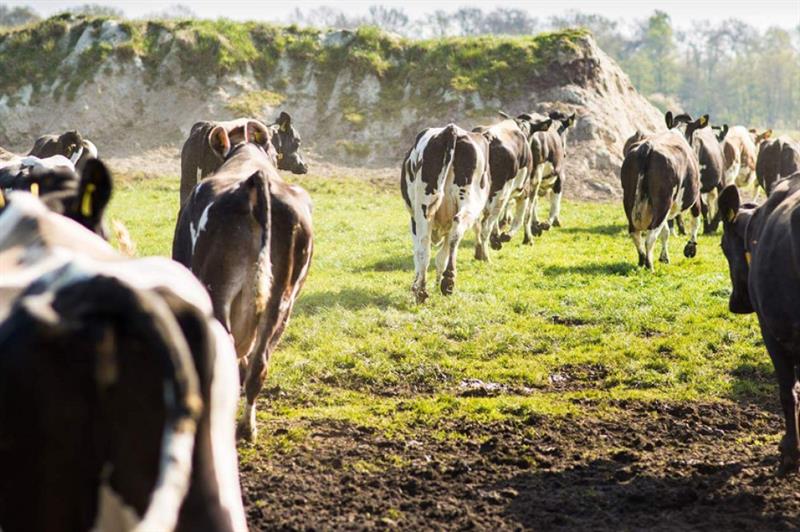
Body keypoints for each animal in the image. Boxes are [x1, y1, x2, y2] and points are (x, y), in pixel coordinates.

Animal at [398, 122, 488, 302]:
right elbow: (441, 256)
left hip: (422, 211)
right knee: (456, 229)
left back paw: (421, 290)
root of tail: (451, 130)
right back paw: (447, 281)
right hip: (469, 201)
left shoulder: (413, 221)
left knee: (423, 247)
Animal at [620, 114, 700, 268]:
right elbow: (695, 220)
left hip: (628, 197)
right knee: (650, 236)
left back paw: (642, 260)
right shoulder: (697, 195)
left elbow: (666, 232)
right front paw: (690, 248)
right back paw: (649, 265)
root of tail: (647, 146)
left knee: (635, 232)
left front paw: (664, 257)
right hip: (663, 201)